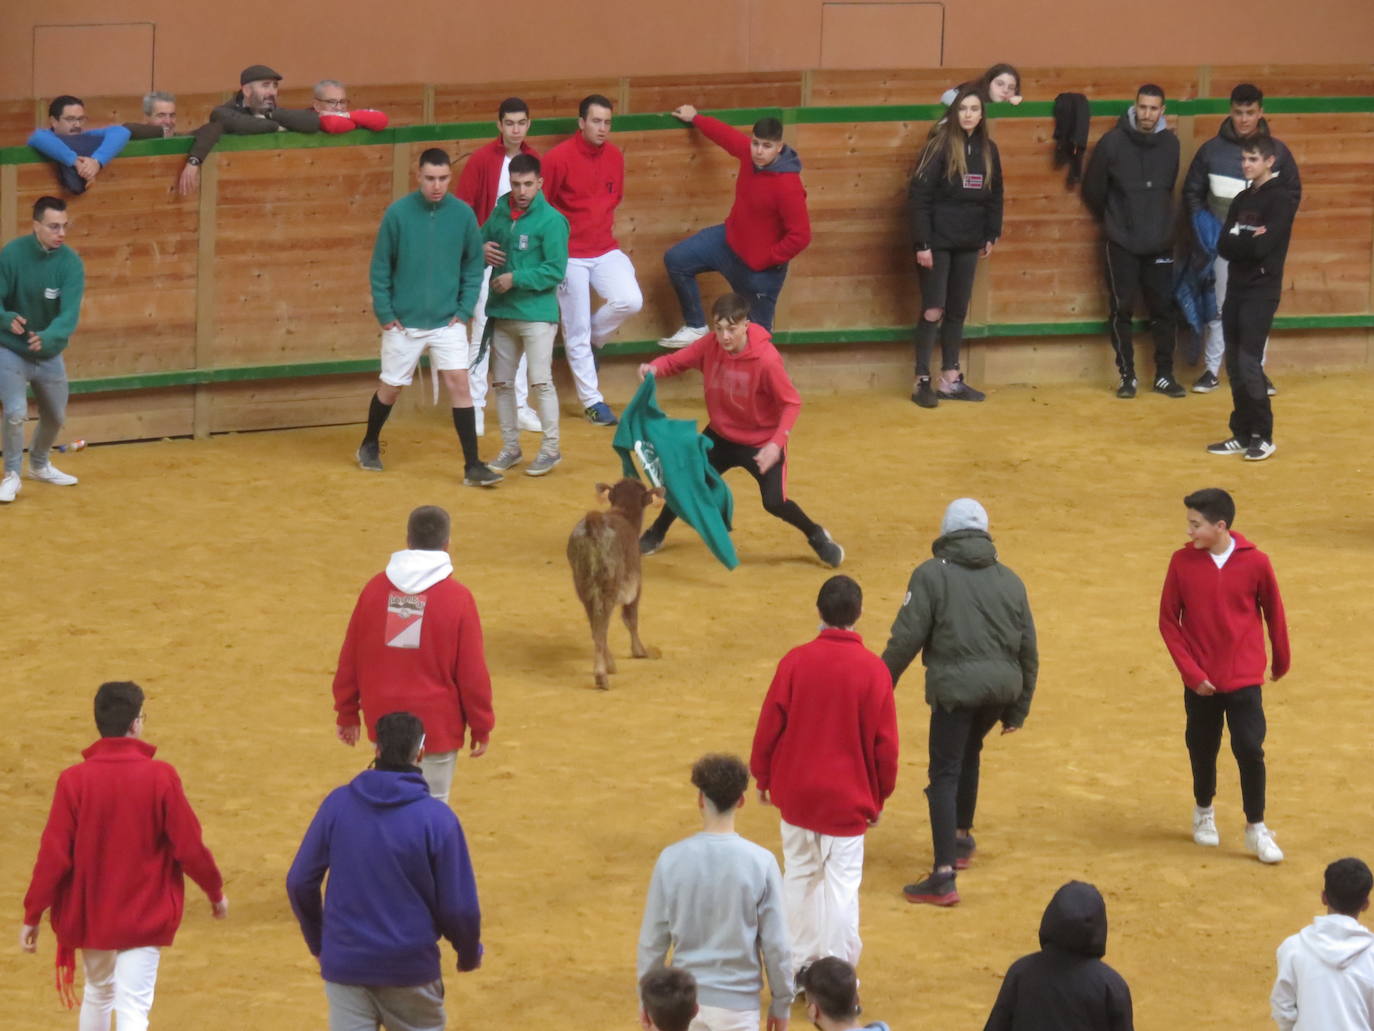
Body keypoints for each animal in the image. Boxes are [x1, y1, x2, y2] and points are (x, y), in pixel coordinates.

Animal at [563, 481, 659, 690]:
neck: (622, 513)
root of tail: (593, 523)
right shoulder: (635, 586)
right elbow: (631, 619)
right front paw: (639, 651)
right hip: (608, 586)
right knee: (601, 625)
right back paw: (602, 675)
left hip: (583, 584)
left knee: (595, 624)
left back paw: (608, 666)